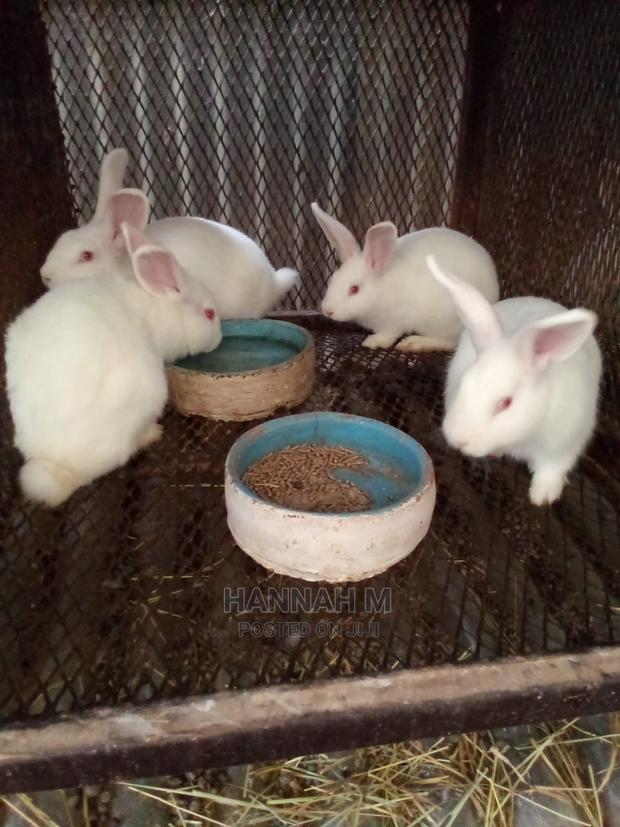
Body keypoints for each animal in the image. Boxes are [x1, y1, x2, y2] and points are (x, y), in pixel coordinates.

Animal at [6, 223, 222, 507]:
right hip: (149, 391)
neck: (157, 306)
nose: (219, 338)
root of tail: (58, 465)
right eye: (209, 314)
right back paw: (153, 433)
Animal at [311, 202, 499, 352]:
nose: (327, 311)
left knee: (449, 342)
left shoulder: (394, 322)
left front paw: (372, 342)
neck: (382, 287)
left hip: (445, 321)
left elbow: (388, 335)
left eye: (354, 289)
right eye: (332, 280)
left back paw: (414, 343)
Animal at [426, 255, 602, 506]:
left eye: (506, 403)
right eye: (464, 384)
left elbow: (551, 468)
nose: (457, 439)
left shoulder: (565, 444)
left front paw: (543, 497)